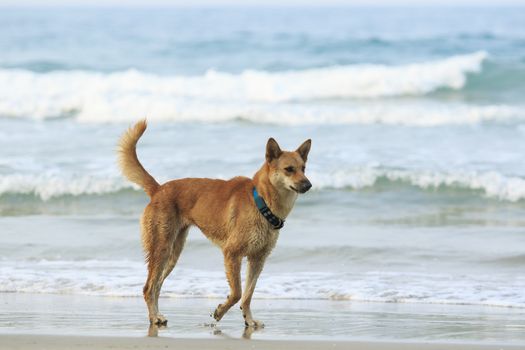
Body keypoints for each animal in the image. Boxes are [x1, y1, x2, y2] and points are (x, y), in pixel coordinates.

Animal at [116, 120, 310, 328]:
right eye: (289, 169)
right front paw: (220, 312)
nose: (308, 185)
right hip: (161, 248)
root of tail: (158, 189)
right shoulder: (232, 253)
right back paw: (153, 317)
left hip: (172, 254)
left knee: (157, 286)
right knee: (148, 287)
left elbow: (248, 295)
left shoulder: (258, 259)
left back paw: (158, 315)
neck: (261, 201)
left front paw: (249, 320)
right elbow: (237, 293)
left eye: (304, 168)